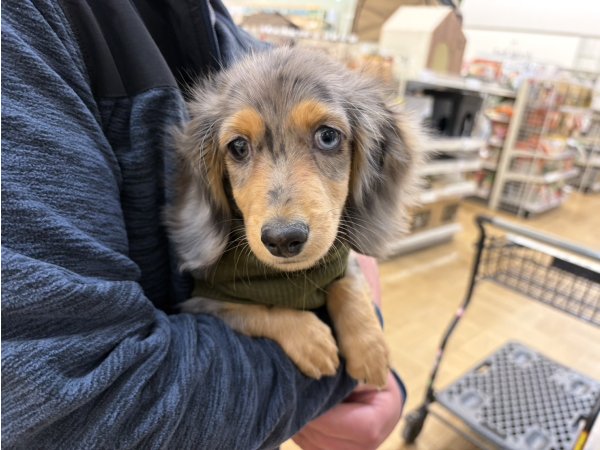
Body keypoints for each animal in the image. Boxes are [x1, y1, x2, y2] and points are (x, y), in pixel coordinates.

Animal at [166, 47, 420, 388]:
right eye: (238, 147)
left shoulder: (342, 261)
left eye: (328, 136)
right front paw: (311, 339)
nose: (283, 239)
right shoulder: (205, 303)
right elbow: (258, 310)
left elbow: (348, 285)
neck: (292, 276)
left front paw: (370, 349)